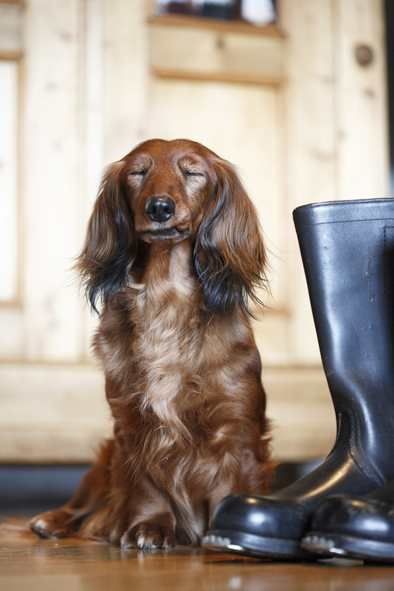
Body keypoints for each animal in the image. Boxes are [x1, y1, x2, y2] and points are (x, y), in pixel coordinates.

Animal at [30, 139, 270, 552]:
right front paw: (149, 527)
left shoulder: (236, 427)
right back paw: (51, 520)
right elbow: (145, 485)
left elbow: (234, 485)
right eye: (138, 173)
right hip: (104, 459)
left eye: (192, 172)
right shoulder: (132, 425)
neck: (166, 298)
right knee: (83, 503)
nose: (159, 207)